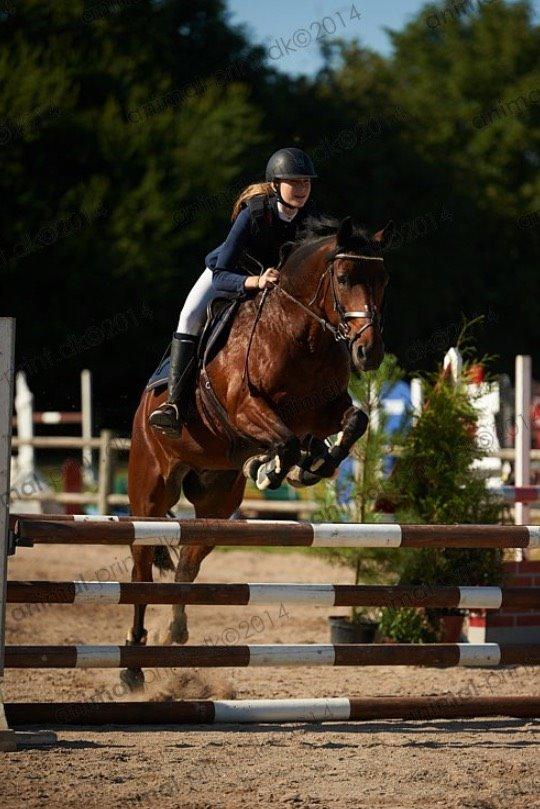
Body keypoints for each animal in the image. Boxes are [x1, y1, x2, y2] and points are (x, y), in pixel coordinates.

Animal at [123, 213, 392, 688]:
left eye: (382, 281)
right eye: (343, 278)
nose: (369, 352)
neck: (301, 334)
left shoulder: (323, 410)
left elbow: (353, 421)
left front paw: (310, 464)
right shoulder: (245, 407)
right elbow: (285, 440)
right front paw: (272, 468)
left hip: (217, 504)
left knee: (187, 564)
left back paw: (177, 632)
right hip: (150, 496)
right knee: (141, 571)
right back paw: (134, 667)